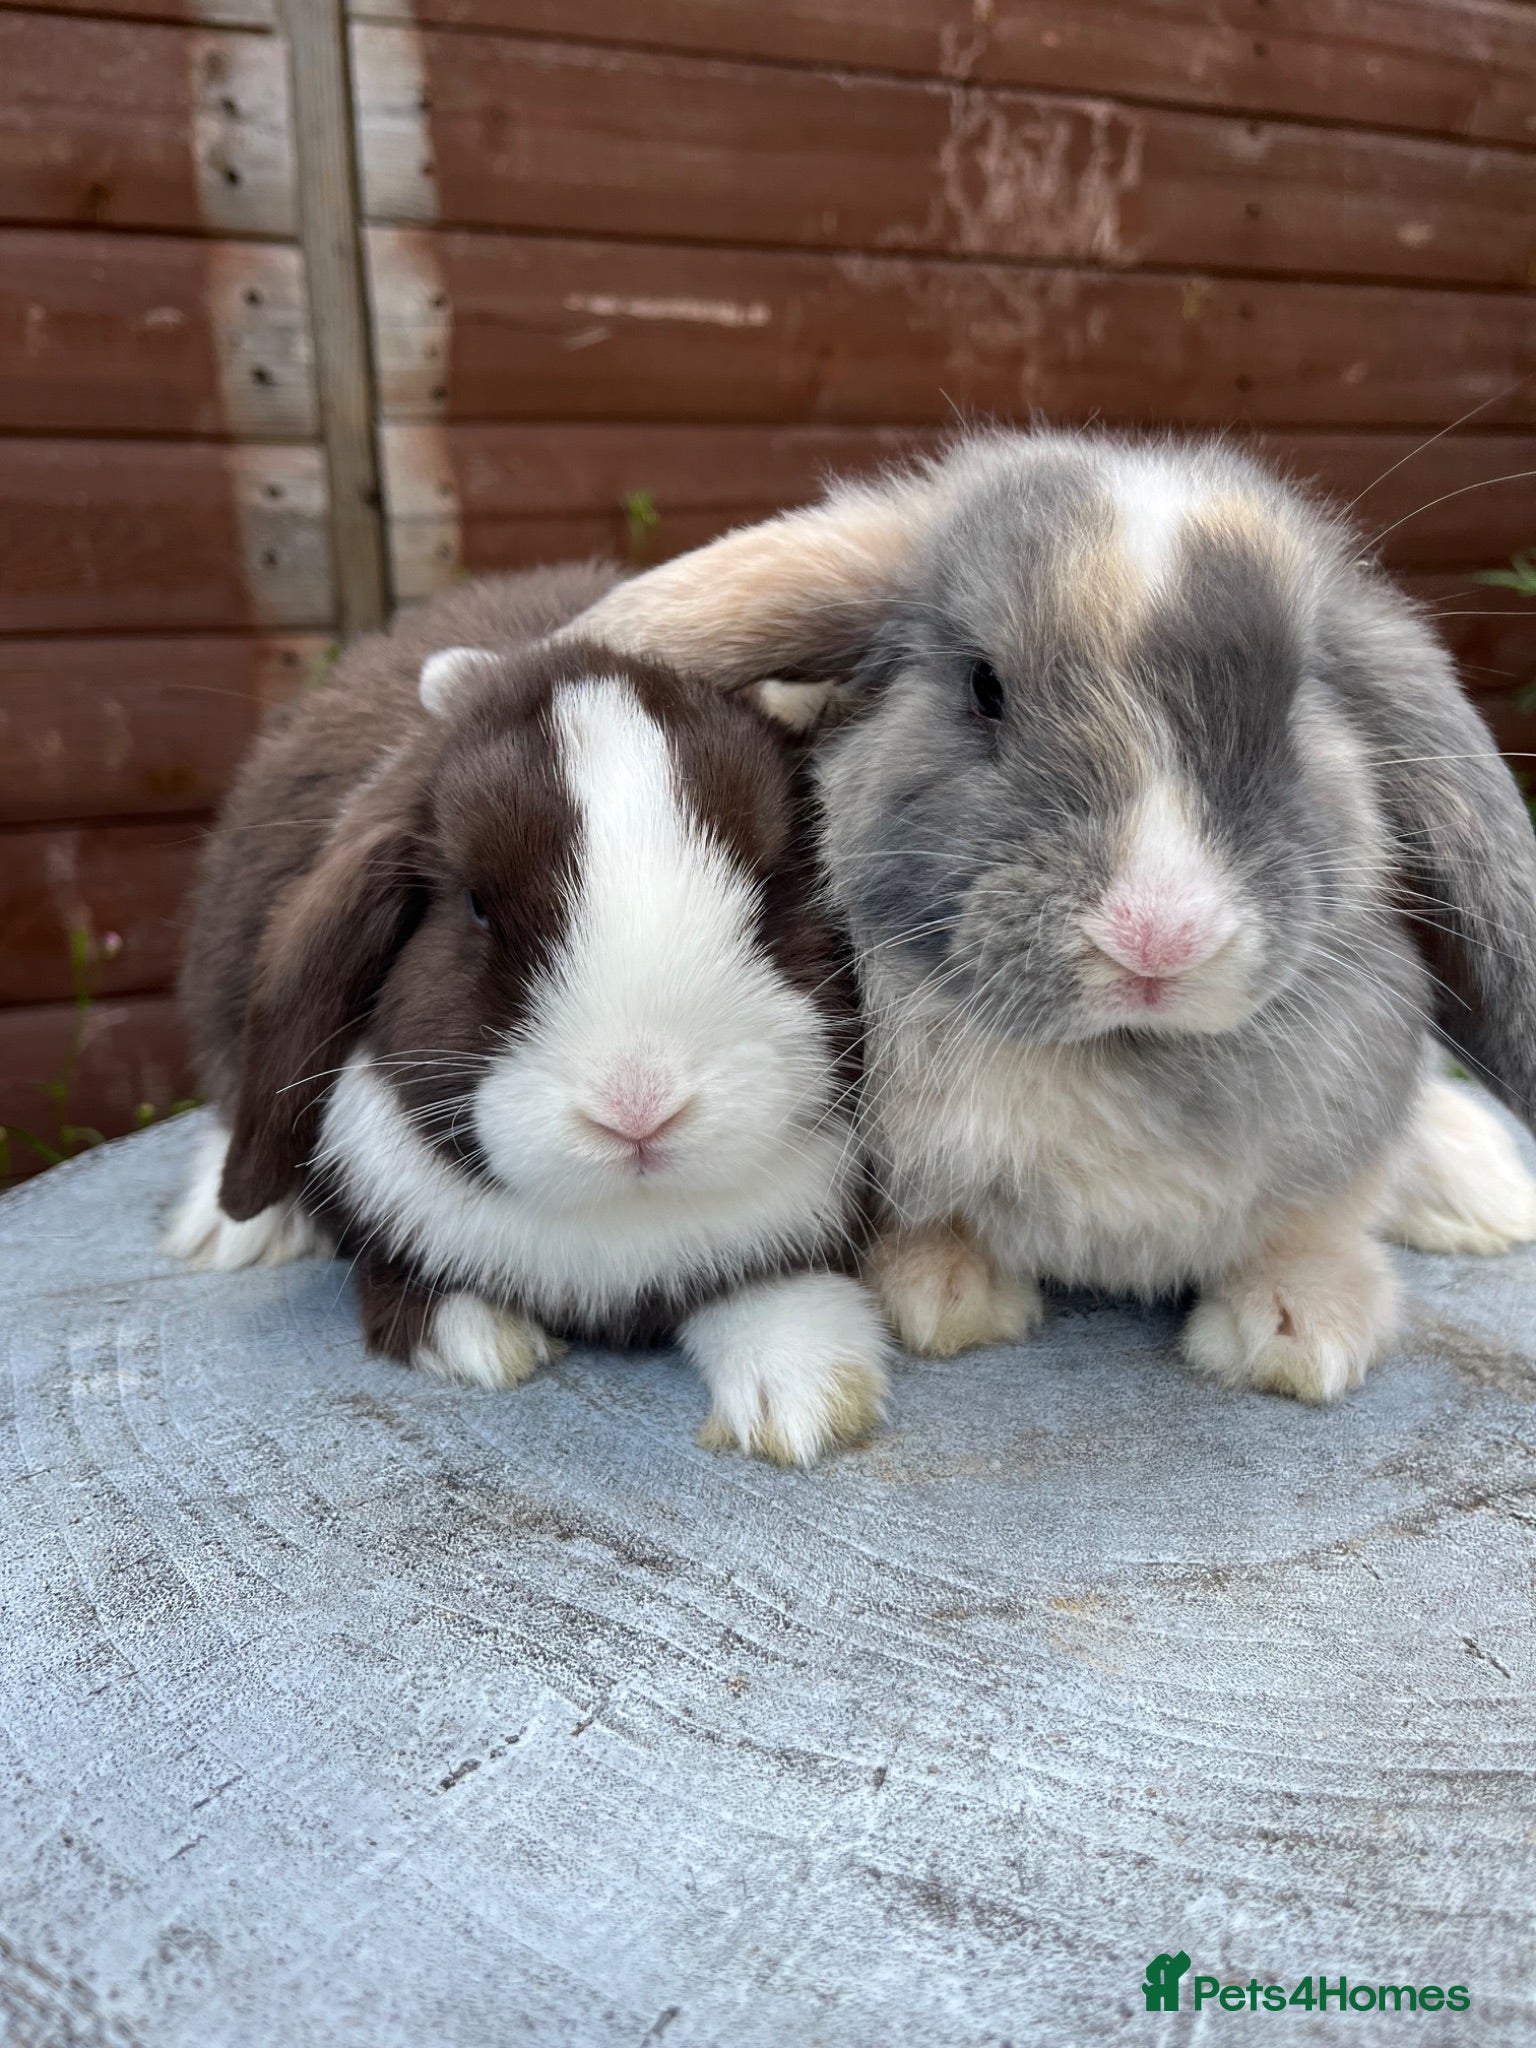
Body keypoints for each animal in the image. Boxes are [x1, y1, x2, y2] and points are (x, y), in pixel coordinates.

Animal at [164, 564, 887, 1465]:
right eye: (476, 905)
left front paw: (805, 1400)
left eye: (774, 883)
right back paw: (224, 1232)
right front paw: (479, 1340)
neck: (623, 1224)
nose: (637, 1109)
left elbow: (778, 1292)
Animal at [559, 430, 1536, 1403]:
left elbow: (1314, 1226)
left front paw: (1301, 1327)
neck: (1120, 1053)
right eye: (984, 687)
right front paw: (943, 1294)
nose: (1159, 938)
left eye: (1295, 698)